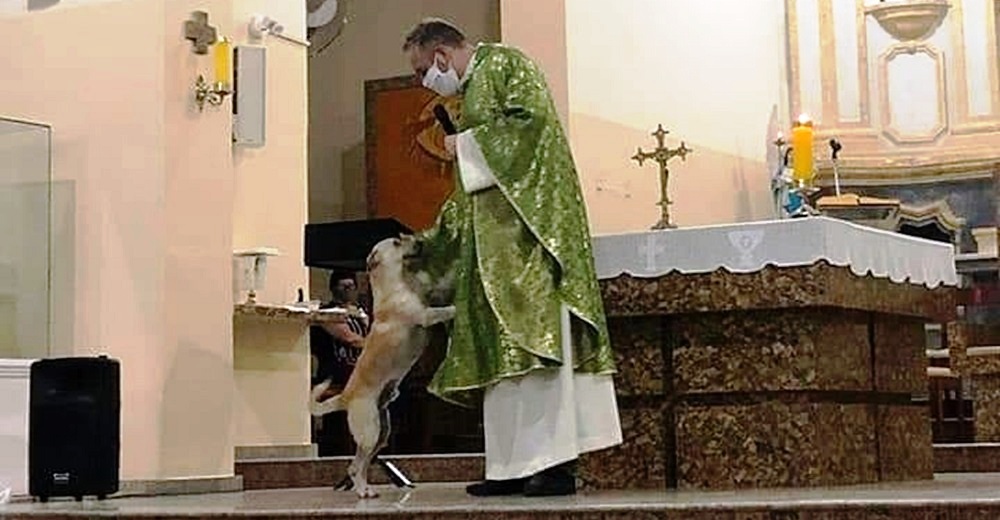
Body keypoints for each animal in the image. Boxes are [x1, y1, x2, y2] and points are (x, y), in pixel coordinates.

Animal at [308, 237, 458, 500]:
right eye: (397, 241)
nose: (420, 241)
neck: (397, 283)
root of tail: (344, 397)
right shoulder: (426, 315)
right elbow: (445, 310)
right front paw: (457, 307)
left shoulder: (430, 295)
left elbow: (440, 284)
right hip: (370, 433)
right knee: (356, 466)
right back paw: (362, 492)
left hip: (381, 434)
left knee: (360, 465)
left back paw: (367, 489)